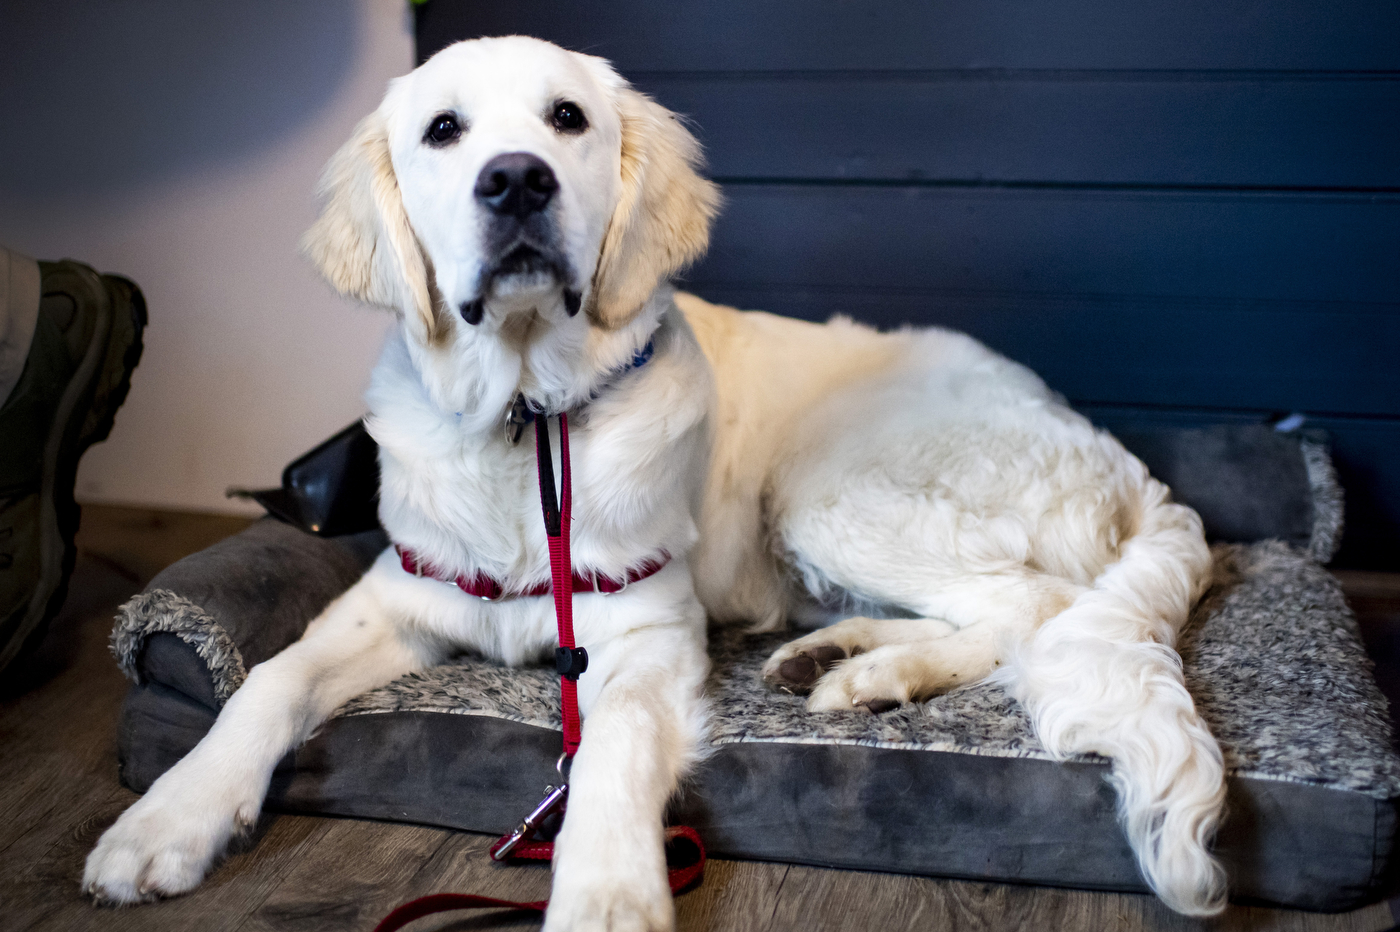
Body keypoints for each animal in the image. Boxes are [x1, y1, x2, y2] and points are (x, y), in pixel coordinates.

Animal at [84, 34, 1226, 923]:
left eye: (567, 119)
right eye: (444, 131)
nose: (515, 179)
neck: (527, 417)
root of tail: (1126, 462)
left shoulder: (641, 636)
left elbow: (612, 749)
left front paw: (606, 895)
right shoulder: (402, 595)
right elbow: (267, 681)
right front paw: (166, 818)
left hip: (826, 486)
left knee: (1035, 607)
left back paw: (874, 674)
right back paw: (837, 657)